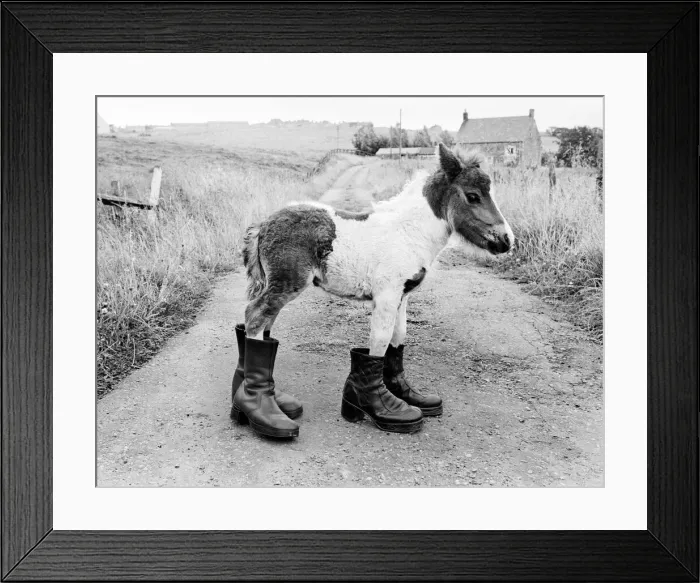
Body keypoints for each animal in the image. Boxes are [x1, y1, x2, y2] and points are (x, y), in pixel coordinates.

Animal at [230, 144, 514, 438]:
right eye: (473, 196)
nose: (507, 241)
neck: (409, 232)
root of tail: (263, 225)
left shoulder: (402, 296)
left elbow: (398, 339)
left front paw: (408, 396)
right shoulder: (387, 294)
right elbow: (380, 340)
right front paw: (386, 408)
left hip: (276, 284)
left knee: (262, 323)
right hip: (286, 283)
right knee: (254, 317)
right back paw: (259, 409)